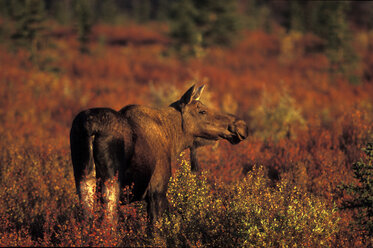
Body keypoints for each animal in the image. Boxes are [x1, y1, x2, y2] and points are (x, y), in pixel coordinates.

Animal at [71, 84, 248, 224]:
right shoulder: (157, 191)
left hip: (83, 176)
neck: (173, 139)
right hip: (111, 180)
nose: (241, 125)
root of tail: (91, 127)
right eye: (202, 111)